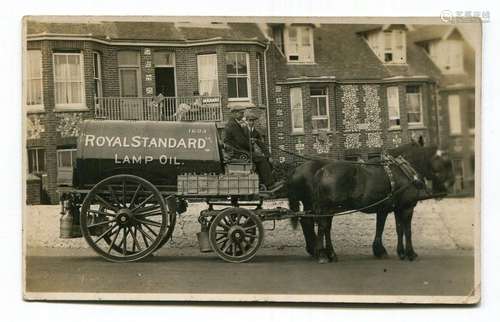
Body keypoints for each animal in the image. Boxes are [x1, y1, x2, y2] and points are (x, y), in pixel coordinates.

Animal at [288, 144, 456, 264]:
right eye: (446, 162)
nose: (452, 183)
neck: (403, 170)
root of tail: (322, 171)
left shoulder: (393, 207)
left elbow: (396, 229)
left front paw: (395, 252)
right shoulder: (407, 207)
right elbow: (407, 230)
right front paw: (411, 253)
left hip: (327, 208)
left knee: (323, 227)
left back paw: (329, 253)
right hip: (326, 207)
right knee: (321, 226)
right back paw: (321, 254)